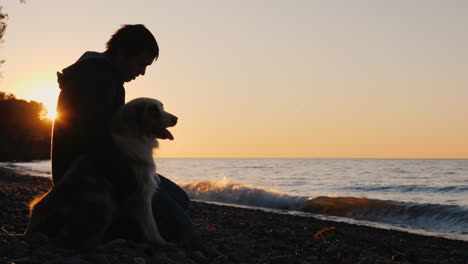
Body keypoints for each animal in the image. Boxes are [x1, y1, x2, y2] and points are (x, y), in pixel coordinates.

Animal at [26, 98, 179, 249]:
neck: (135, 136)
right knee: (85, 244)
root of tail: (32, 229)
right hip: (103, 200)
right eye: (154, 110)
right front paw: (162, 243)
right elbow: (151, 225)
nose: (176, 118)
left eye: (162, 107)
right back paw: (116, 242)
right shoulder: (142, 193)